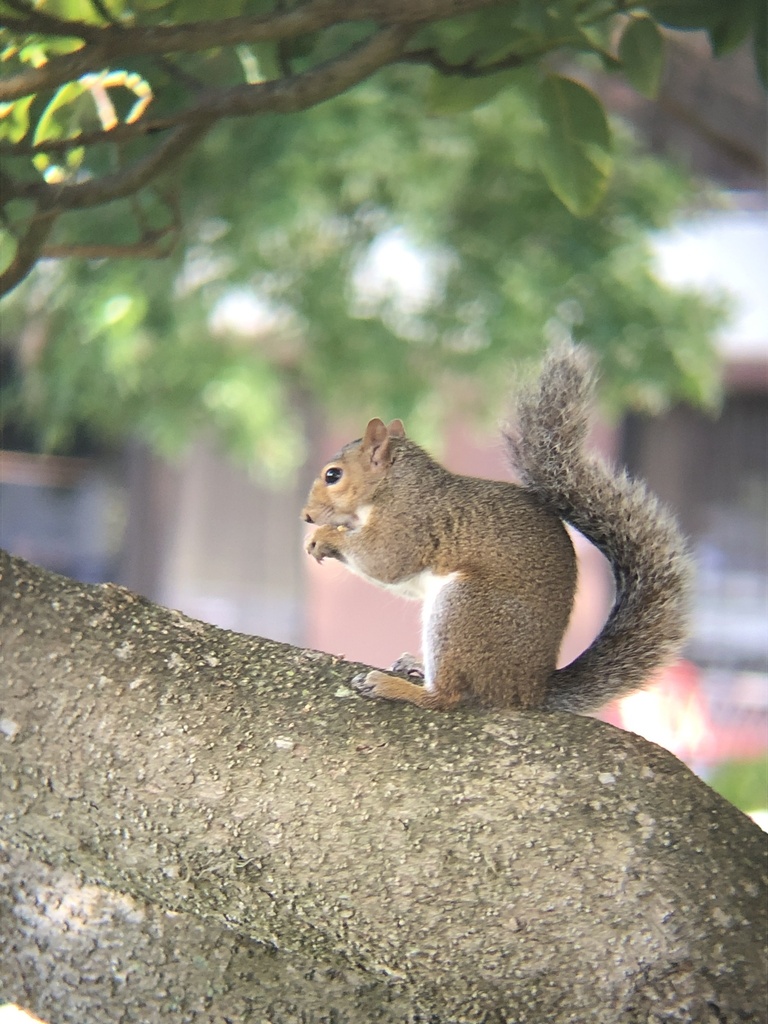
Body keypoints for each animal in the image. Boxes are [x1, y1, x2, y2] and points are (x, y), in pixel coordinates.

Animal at [302, 344, 693, 713]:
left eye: (333, 475)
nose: (306, 516)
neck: (395, 485)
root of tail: (529, 690)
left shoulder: (409, 524)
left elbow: (384, 560)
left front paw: (325, 537)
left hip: (466, 607)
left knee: (448, 696)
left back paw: (397, 688)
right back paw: (416, 667)